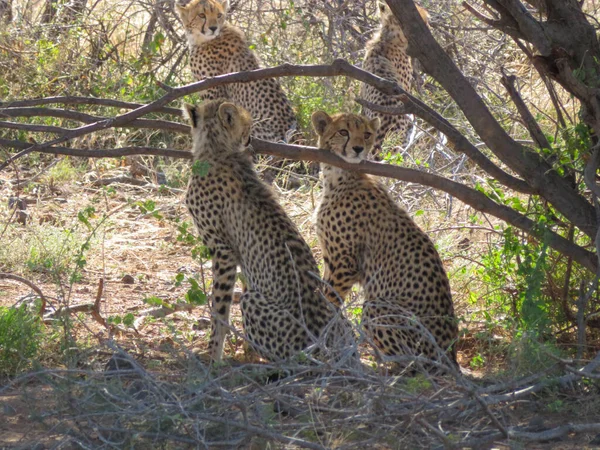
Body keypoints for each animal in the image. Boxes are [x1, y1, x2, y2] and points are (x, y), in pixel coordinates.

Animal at [183, 98, 352, 362]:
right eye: (246, 127)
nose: (251, 139)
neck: (218, 149)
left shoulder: (223, 251)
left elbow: (219, 309)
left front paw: (212, 356)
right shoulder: (241, 258)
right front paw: (245, 350)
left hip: (254, 304)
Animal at [312, 110, 458, 368]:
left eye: (367, 134)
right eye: (343, 131)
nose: (358, 148)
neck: (339, 177)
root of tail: (451, 354)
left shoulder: (345, 262)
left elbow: (330, 300)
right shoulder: (332, 258)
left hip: (378, 306)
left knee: (414, 366)